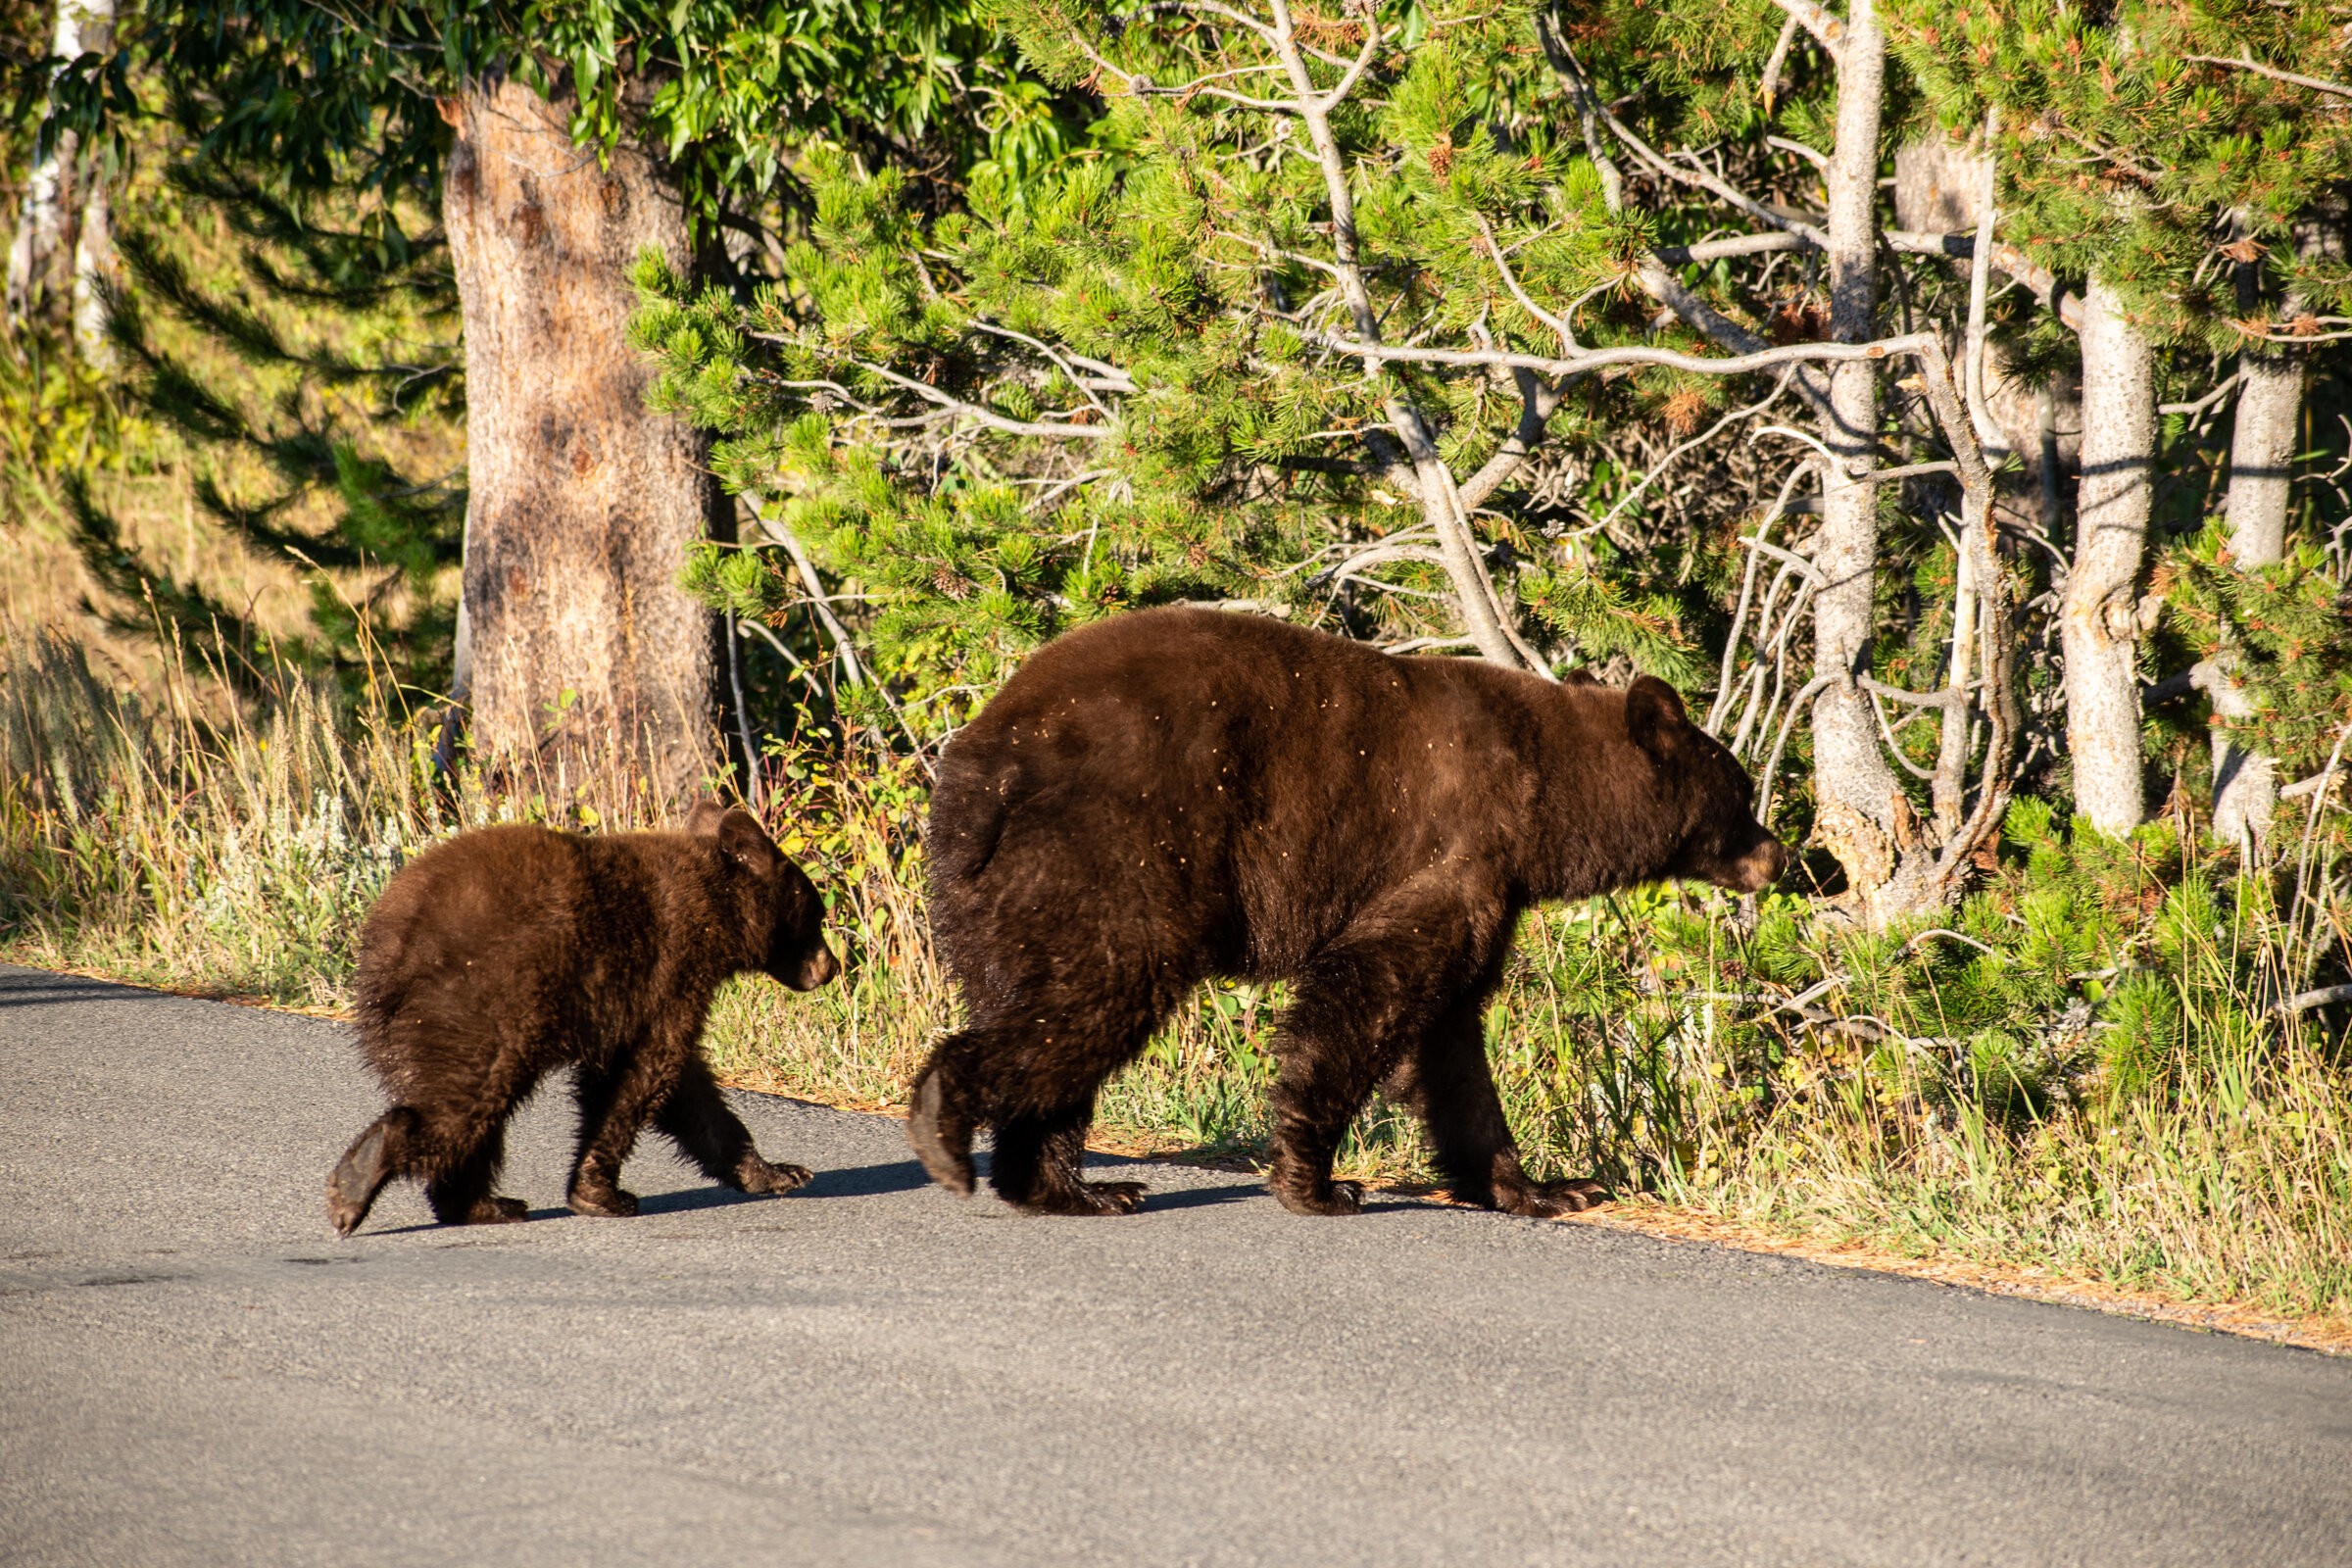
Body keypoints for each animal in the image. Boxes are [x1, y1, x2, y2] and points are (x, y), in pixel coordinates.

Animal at [326, 801, 840, 1237]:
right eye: (816, 913)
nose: (831, 967)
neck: (715, 907)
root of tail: (387, 941)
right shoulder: (669, 972)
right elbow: (644, 1074)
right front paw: (602, 1195)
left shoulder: (648, 994)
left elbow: (691, 1093)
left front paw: (776, 1172)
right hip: (484, 1001)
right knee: (469, 1098)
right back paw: (357, 1181)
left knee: (478, 1111)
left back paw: (483, 1205)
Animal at [906, 605, 1788, 1219]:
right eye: (1742, 793)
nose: (1778, 856)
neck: (1549, 795)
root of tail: (989, 760)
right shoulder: (1458, 849)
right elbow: (1369, 994)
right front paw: (1318, 1183)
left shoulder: (1489, 889)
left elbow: (1450, 1040)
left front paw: (1540, 1187)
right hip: (1113, 848)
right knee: (1097, 996)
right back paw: (946, 1123)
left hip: (994, 891)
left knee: (1050, 1009)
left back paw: (1072, 1189)